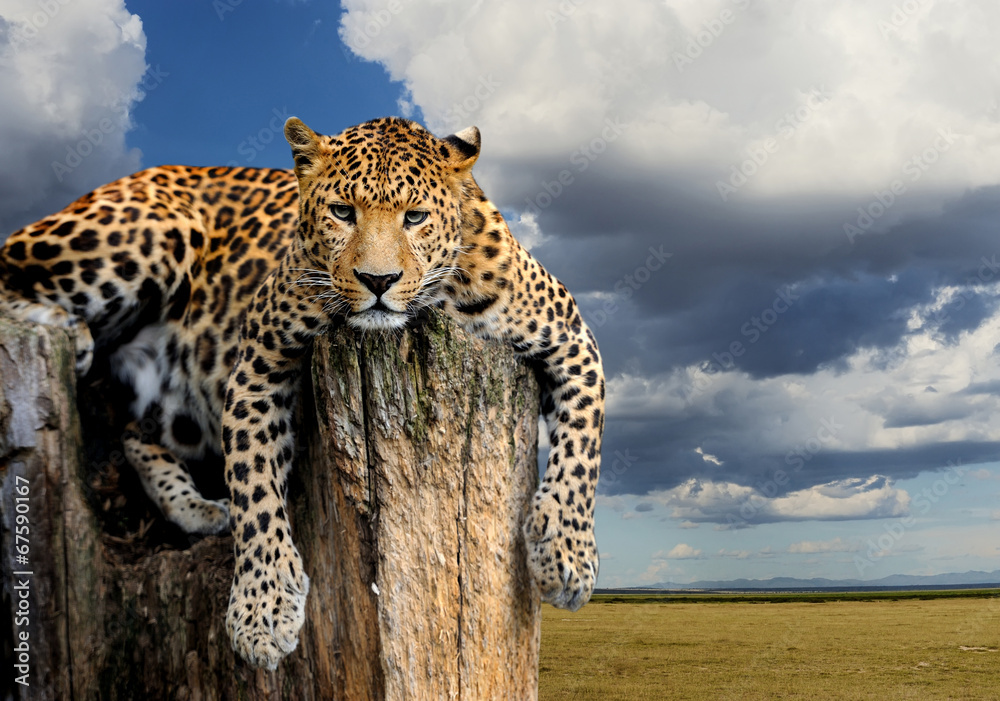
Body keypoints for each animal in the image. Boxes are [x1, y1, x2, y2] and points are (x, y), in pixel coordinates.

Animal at [0, 116, 605, 670]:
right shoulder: (258, 361)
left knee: (134, 432)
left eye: (414, 217)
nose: (378, 281)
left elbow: (583, 449)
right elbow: (254, 487)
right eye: (342, 212)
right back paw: (70, 331)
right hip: (146, 232)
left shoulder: (574, 340)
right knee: (10, 266)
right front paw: (262, 612)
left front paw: (566, 558)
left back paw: (198, 508)